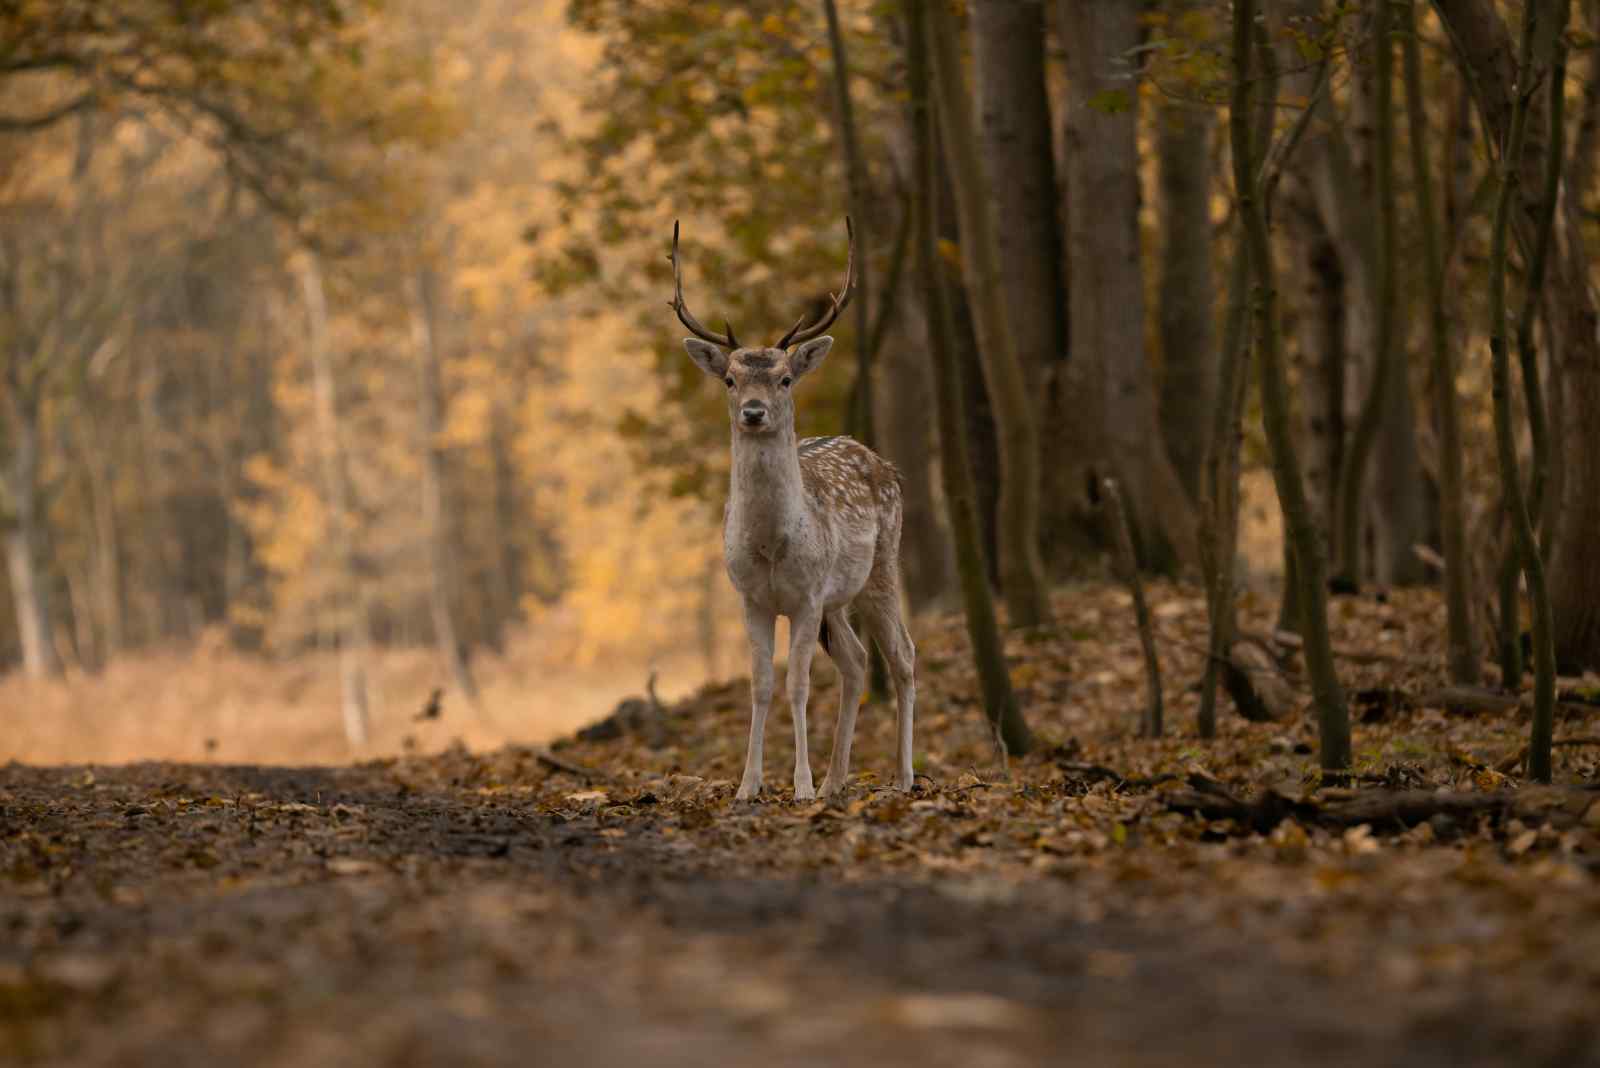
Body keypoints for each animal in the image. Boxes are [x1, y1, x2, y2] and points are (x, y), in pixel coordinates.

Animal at [668, 219, 915, 799]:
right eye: (731, 379)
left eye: (784, 378)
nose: (754, 412)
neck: (772, 547)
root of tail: (882, 461)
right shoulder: (751, 598)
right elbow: (760, 685)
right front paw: (748, 786)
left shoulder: (805, 596)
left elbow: (797, 684)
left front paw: (798, 785)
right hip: (838, 600)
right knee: (857, 661)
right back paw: (836, 782)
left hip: (882, 568)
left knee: (903, 656)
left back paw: (903, 776)